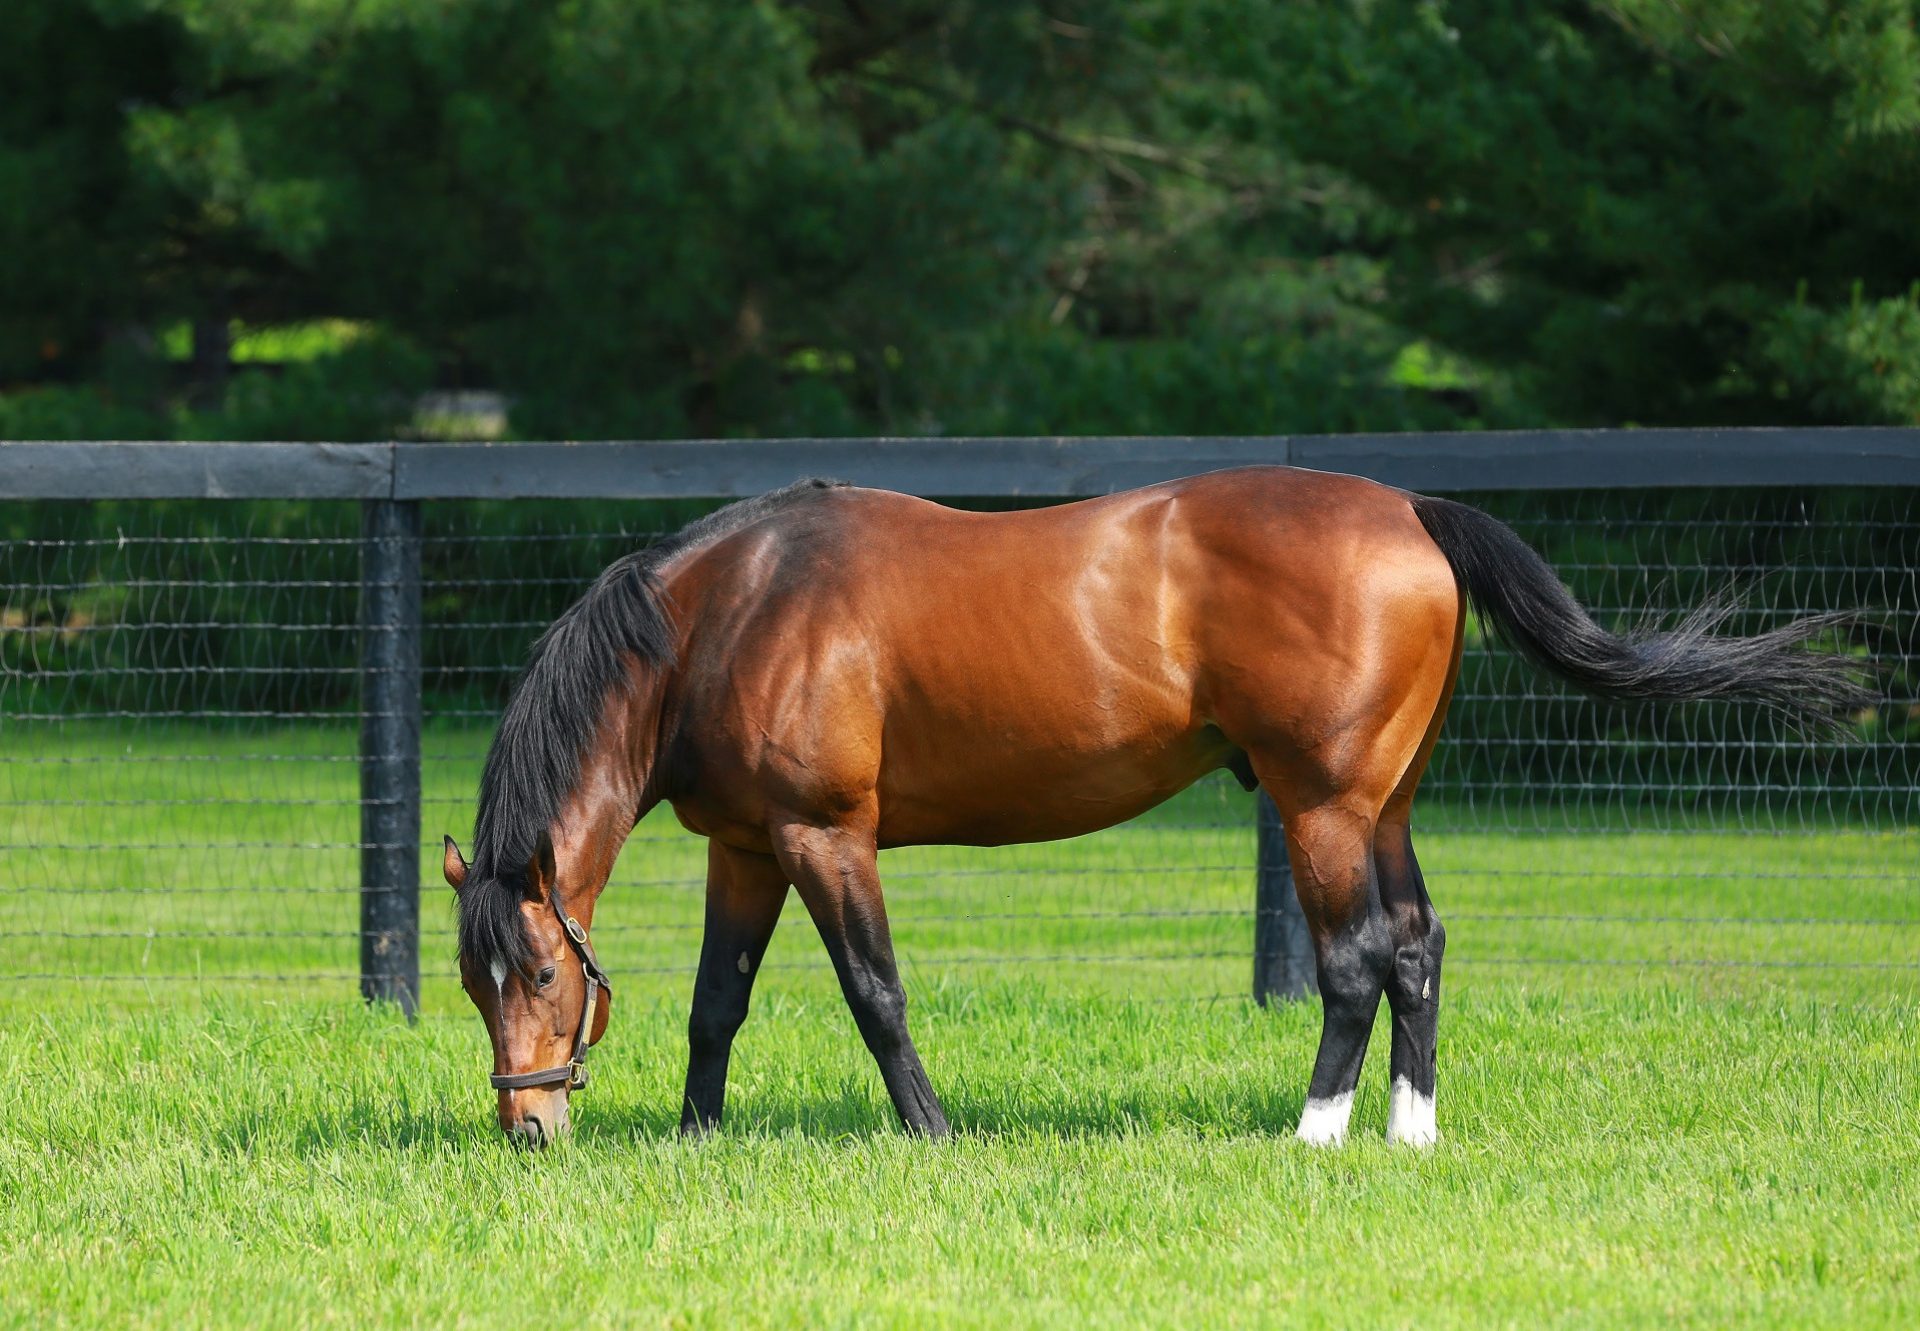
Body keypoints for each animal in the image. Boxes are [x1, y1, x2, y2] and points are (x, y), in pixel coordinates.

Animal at [439, 466, 1858, 1144]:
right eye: (473, 984)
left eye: (540, 975)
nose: (528, 1125)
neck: (730, 614)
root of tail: (1410, 508)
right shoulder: (747, 846)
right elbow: (716, 1001)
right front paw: (696, 1137)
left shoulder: (824, 836)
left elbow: (875, 992)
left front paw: (934, 1131)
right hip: (1385, 807)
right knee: (1417, 950)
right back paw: (1407, 1132)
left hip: (1322, 806)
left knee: (1355, 960)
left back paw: (1315, 1133)